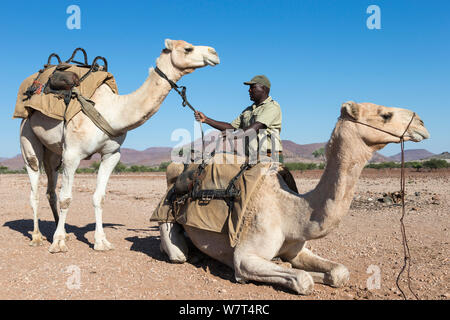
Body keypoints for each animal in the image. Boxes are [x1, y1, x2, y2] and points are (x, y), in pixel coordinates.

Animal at [19, 38, 220, 252]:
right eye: (188, 48)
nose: (214, 53)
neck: (112, 111)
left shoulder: (111, 154)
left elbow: (99, 197)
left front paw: (101, 242)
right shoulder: (72, 154)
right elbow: (67, 198)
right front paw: (58, 243)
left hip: (54, 152)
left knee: (50, 189)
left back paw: (61, 231)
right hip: (28, 136)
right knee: (35, 186)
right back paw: (37, 237)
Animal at [158, 101, 428, 294]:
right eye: (385, 115)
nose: (422, 122)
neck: (290, 211)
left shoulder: (298, 249)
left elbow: (339, 272)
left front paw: (311, 271)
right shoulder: (245, 256)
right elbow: (302, 280)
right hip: (166, 215)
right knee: (177, 252)